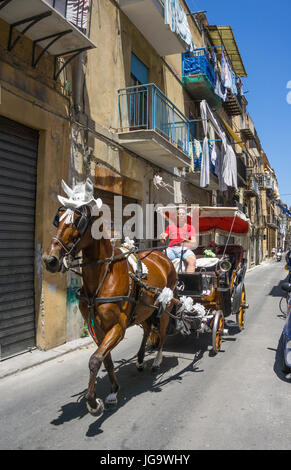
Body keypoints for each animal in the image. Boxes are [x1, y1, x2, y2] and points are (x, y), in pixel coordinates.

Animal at [43, 204, 176, 416]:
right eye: (58, 219)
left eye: (77, 221)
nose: (50, 260)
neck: (103, 276)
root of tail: (162, 256)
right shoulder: (96, 328)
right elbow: (106, 360)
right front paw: (113, 390)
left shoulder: (117, 328)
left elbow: (95, 359)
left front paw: (93, 402)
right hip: (143, 310)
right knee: (148, 329)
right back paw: (140, 360)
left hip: (165, 305)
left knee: (162, 332)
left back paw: (156, 361)